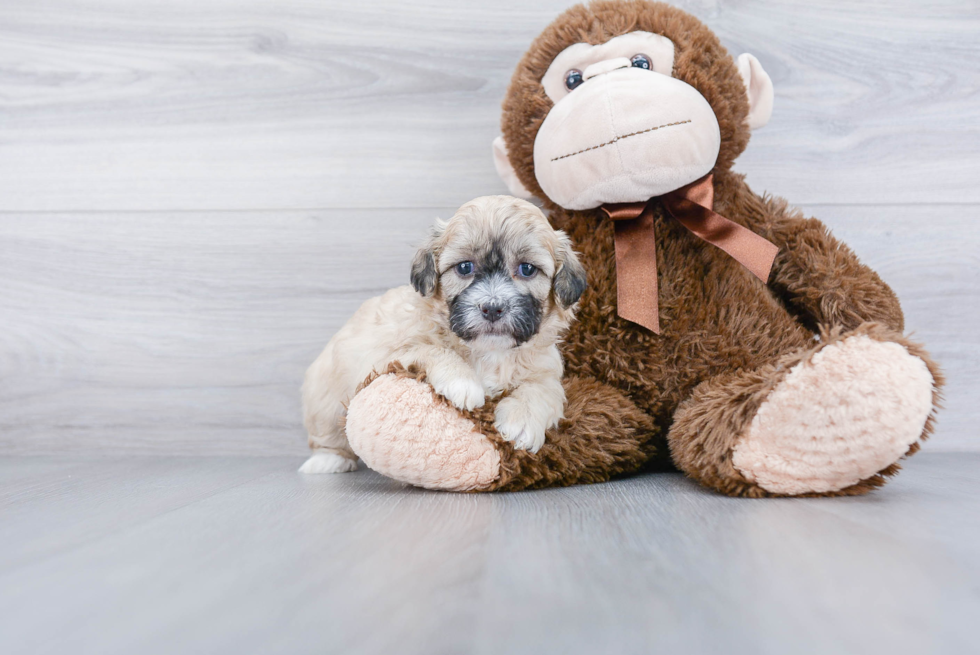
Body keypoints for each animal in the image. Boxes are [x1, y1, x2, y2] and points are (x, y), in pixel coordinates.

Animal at [298, 192, 584, 474]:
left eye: (527, 269)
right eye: (465, 267)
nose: (492, 308)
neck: (488, 351)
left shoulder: (546, 371)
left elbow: (543, 390)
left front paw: (521, 422)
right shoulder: (386, 356)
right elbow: (433, 349)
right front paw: (463, 383)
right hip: (326, 399)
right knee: (328, 433)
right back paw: (329, 460)